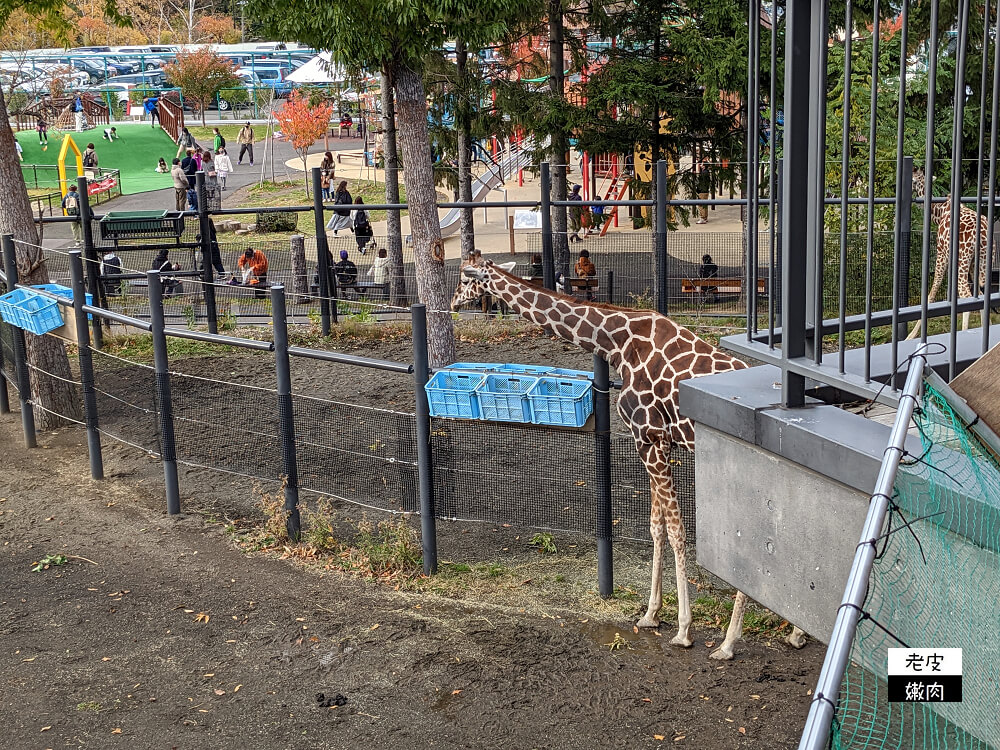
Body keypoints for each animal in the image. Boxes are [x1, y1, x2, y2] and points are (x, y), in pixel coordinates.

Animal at [450, 262, 808, 660]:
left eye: (464, 277)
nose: (452, 302)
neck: (616, 342)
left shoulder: (648, 439)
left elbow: (676, 531)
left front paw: (684, 630)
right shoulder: (657, 443)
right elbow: (656, 528)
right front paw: (651, 614)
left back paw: (729, 643)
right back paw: (792, 634)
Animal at [908, 172, 992, 340]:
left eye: (914, 180)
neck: (939, 212)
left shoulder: (941, 253)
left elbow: (931, 293)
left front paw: (911, 335)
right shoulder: (972, 265)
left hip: (962, 261)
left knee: (965, 295)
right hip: (981, 263)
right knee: (980, 294)